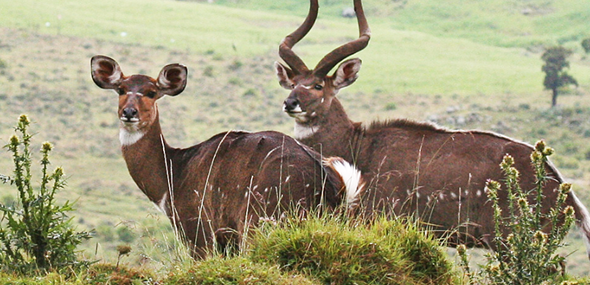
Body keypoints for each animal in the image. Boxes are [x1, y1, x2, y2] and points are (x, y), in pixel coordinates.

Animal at [91, 55, 366, 258]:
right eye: (121, 89)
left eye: (151, 92)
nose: (129, 112)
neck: (174, 173)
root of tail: (333, 185)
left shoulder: (198, 230)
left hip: (258, 223)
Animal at [276, 0, 590, 255]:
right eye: (293, 84)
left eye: (318, 86)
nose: (290, 103)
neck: (359, 148)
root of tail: (566, 194)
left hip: (510, 238)